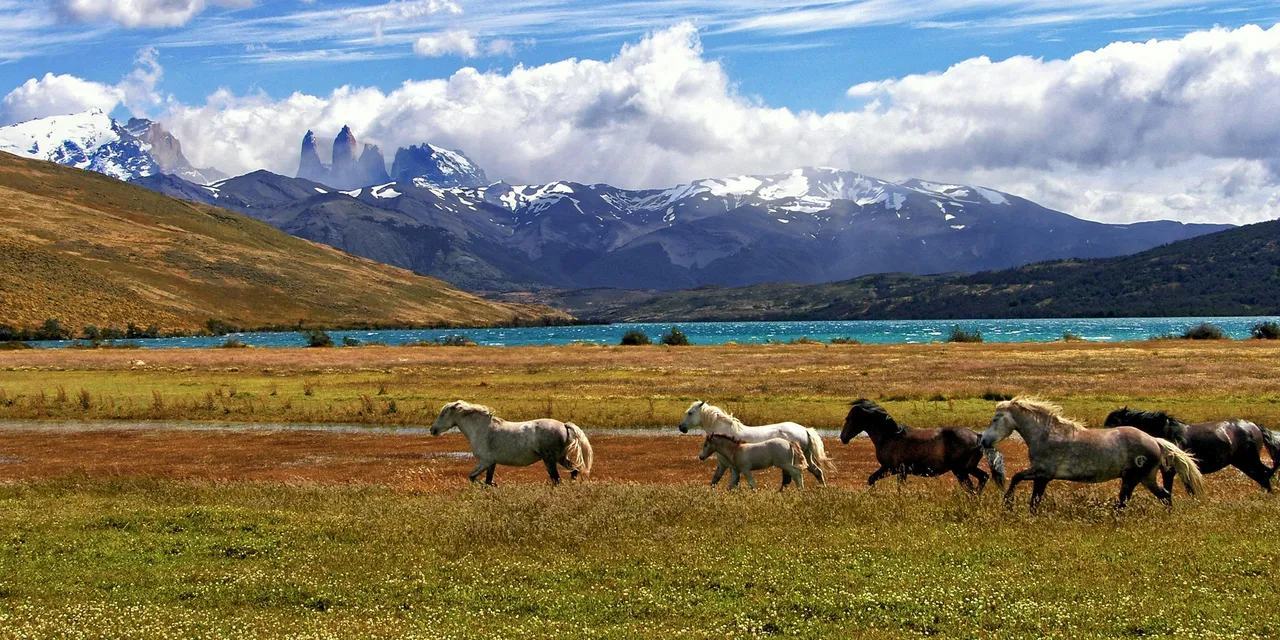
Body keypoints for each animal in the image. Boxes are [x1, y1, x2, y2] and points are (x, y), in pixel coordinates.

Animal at [430, 400, 593, 485]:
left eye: (443, 414)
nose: (432, 430)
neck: (482, 429)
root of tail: (564, 425)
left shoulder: (485, 461)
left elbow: (473, 477)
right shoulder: (491, 463)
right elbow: (487, 481)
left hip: (549, 460)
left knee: (557, 479)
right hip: (560, 458)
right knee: (574, 470)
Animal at [678, 400, 834, 485]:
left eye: (690, 413)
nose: (681, 427)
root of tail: (805, 430)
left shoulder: (724, 463)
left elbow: (721, 480)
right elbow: (717, 480)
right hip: (806, 457)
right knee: (817, 472)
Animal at [840, 399, 1005, 492]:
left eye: (849, 418)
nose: (843, 438)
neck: (890, 436)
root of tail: (978, 437)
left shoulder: (896, 470)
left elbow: (897, 488)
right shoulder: (890, 469)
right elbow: (871, 479)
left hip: (961, 471)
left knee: (971, 487)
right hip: (968, 468)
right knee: (983, 477)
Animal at [980, 397, 1204, 512]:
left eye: (996, 418)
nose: (984, 441)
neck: (1047, 434)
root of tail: (1155, 440)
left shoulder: (1042, 473)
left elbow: (1021, 484)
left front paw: (1009, 504)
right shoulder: (1041, 475)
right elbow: (1029, 493)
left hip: (1132, 479)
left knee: (1124, 501)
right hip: (1146, 478)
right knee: (1164, 496)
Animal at [1105, 407, 1280, 493]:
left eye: (1113, 423)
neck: (1165, 433)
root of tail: (1254, 426)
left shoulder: (1170, 471)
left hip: (1248, 461)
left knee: (1264, 475)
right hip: (1243, 463)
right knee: (1264, 475)